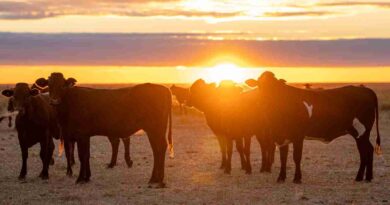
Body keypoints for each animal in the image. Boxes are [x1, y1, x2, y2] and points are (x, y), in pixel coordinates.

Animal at [36, 73, 174, 187]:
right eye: (49, 85)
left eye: (62, 86)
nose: (54, 101)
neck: (70, 102)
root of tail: (164, 89)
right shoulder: (84, 136)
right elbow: (86, 155)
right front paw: (87, 177)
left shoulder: (81, 135)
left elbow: (82, 156)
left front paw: (80, 178)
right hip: (154, 130)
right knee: (157, 149)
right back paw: (155, 179)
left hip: (155, 129)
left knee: (159, 148)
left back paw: (158, 180)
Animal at [247, 71, 380, 183]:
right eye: (259, 86)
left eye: (274, 88)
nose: (264, 100)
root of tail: (365, 89)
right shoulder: (282, 136)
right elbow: (283, 157)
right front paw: (281, 178)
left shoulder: (298, 136)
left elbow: (296, 157)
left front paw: (297, 178)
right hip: (360, 133)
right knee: (368, 149)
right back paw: (367, 177)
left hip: (362, 132)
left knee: (365, 151)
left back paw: (360, 177)